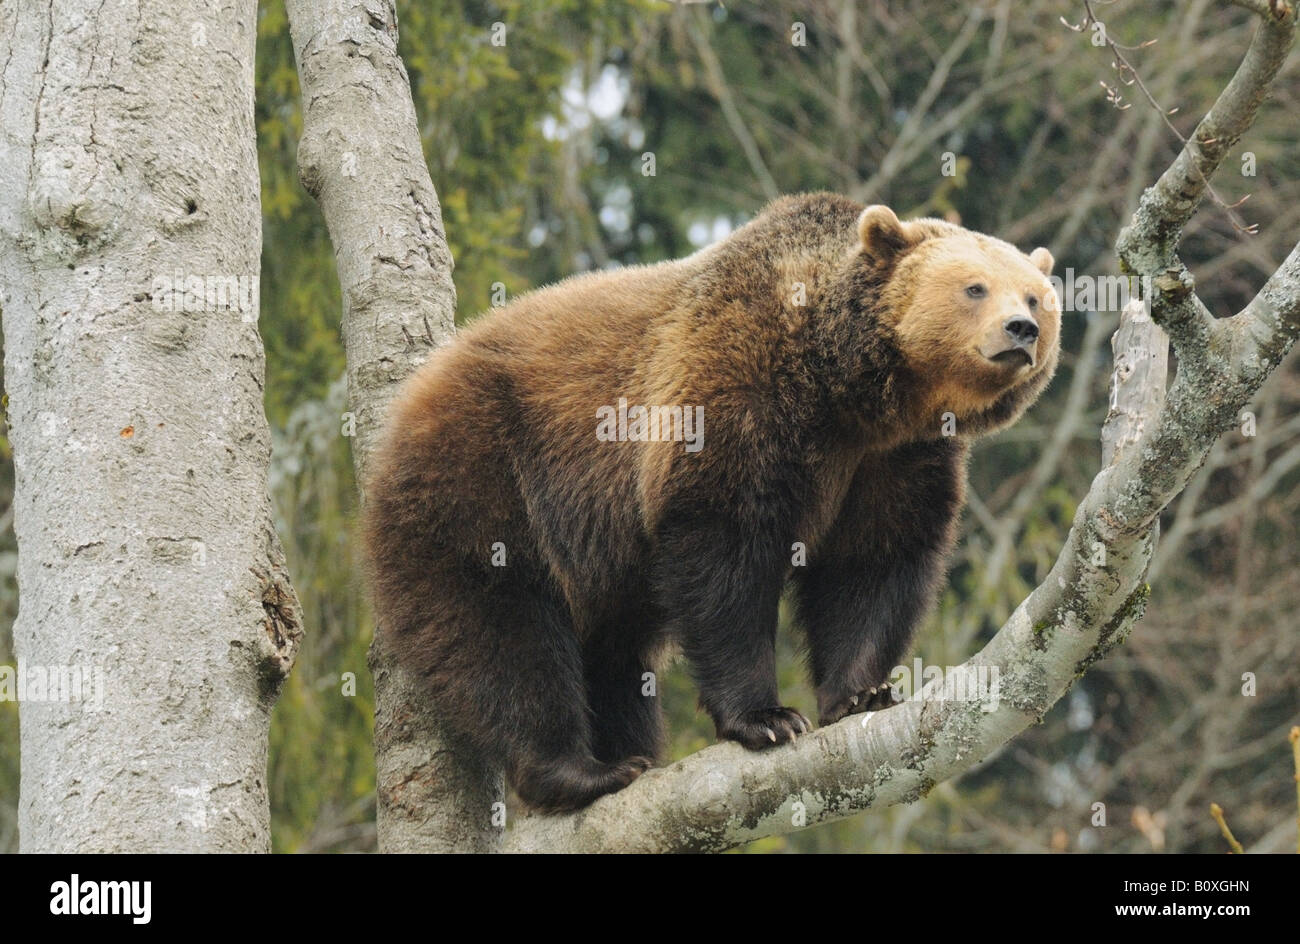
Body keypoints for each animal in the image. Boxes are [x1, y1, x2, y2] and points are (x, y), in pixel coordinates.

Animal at [362, 192, 1060, 813]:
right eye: (974, 287)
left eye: (1034, 295)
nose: (1022, 330)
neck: (856, 394)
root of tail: (407, 403)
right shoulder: (738, 388)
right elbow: (725, 546)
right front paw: (767, 717)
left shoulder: (896, 460)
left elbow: (875, 562)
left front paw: (862, 693)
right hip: (487, 473)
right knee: (502, 629)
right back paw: (581, 770)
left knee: (614, 654)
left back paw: (630, 752)